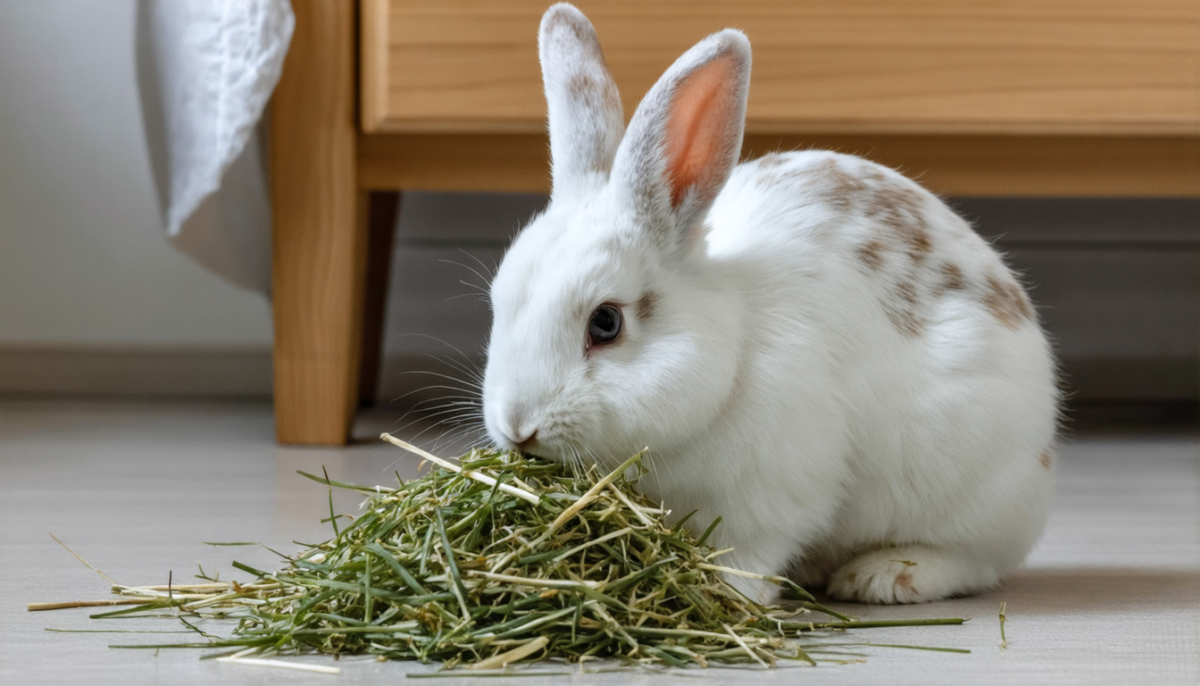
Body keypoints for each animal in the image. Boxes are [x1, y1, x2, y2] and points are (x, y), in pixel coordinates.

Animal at [481, 3, 1058, 605]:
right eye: (500, 301)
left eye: (606, 322)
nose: (518, 428)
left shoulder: (771, 495)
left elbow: (750, 552)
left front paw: (726, 595)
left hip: (973, 484)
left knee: (977, 560)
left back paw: (882, 577)